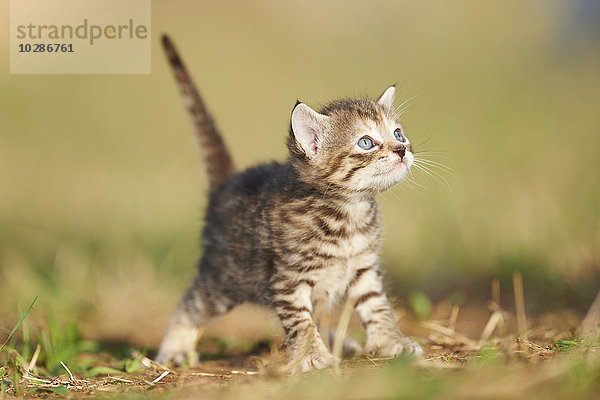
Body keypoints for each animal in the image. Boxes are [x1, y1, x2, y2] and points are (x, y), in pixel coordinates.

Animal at [157, 34, 424, 372]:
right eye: (366, 142)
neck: (348, 212)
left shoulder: (364, 267)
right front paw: (311, 355)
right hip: (226, 278)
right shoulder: (288, 278)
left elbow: (377, 306)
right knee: (190, 303)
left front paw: (391, 342)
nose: (402, 149)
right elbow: (300, 320)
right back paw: (173, 349)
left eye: (398, 134)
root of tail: (227, 183)